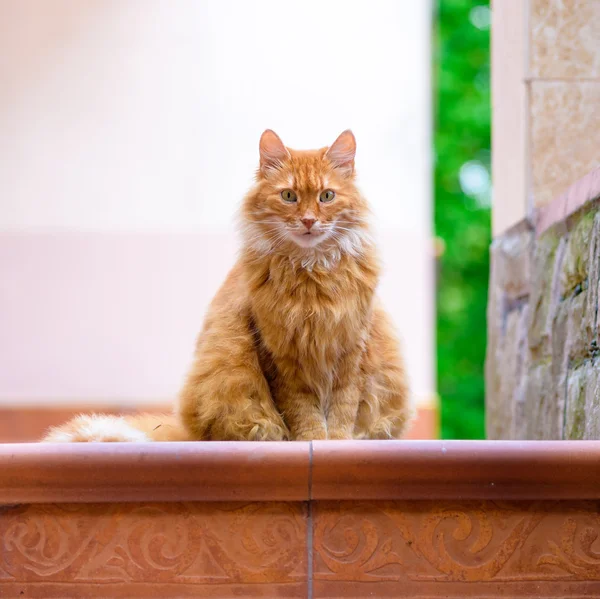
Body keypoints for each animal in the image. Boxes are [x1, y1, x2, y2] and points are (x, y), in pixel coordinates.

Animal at [44, 131, 414, 442]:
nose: (309, 221)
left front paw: (337, 443)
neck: (311, 274)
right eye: (289, 196)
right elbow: (302, 412)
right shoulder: (278, 352)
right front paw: (311, 441)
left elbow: (342, 409)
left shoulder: (351, 348)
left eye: (326, 196)